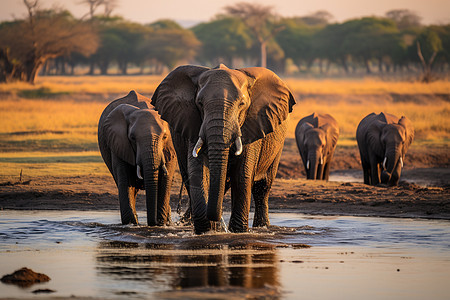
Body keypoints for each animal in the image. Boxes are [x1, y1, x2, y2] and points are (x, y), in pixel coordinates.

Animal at [97, 90, 177, 226]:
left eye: (165, 137)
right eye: (132, 138)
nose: (153, 223)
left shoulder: (170, 147)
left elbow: (165, 181)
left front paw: (161, 223)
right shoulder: (118, 143)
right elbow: (125, 181)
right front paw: (131, 224)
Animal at [153, 63, 298, 234]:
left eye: (242, 104)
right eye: (200, 103)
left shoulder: (252, 124)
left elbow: (242, 174)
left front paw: (238, 232)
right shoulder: (193, 124)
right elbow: (198, 172)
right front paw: (207, 232)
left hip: (277, 147)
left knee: (263, 188)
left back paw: (262, 227)